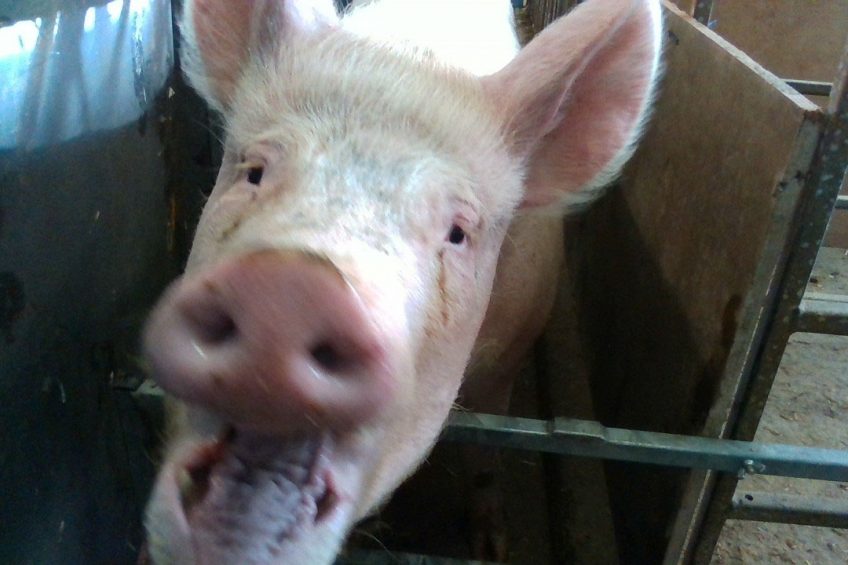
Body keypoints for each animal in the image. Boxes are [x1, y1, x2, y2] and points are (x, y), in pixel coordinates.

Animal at [142, 0, 664, 560]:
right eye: (254, 171)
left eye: (458, 233)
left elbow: (489, 453)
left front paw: (491, 548)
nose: (293, 287)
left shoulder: (511, 353)